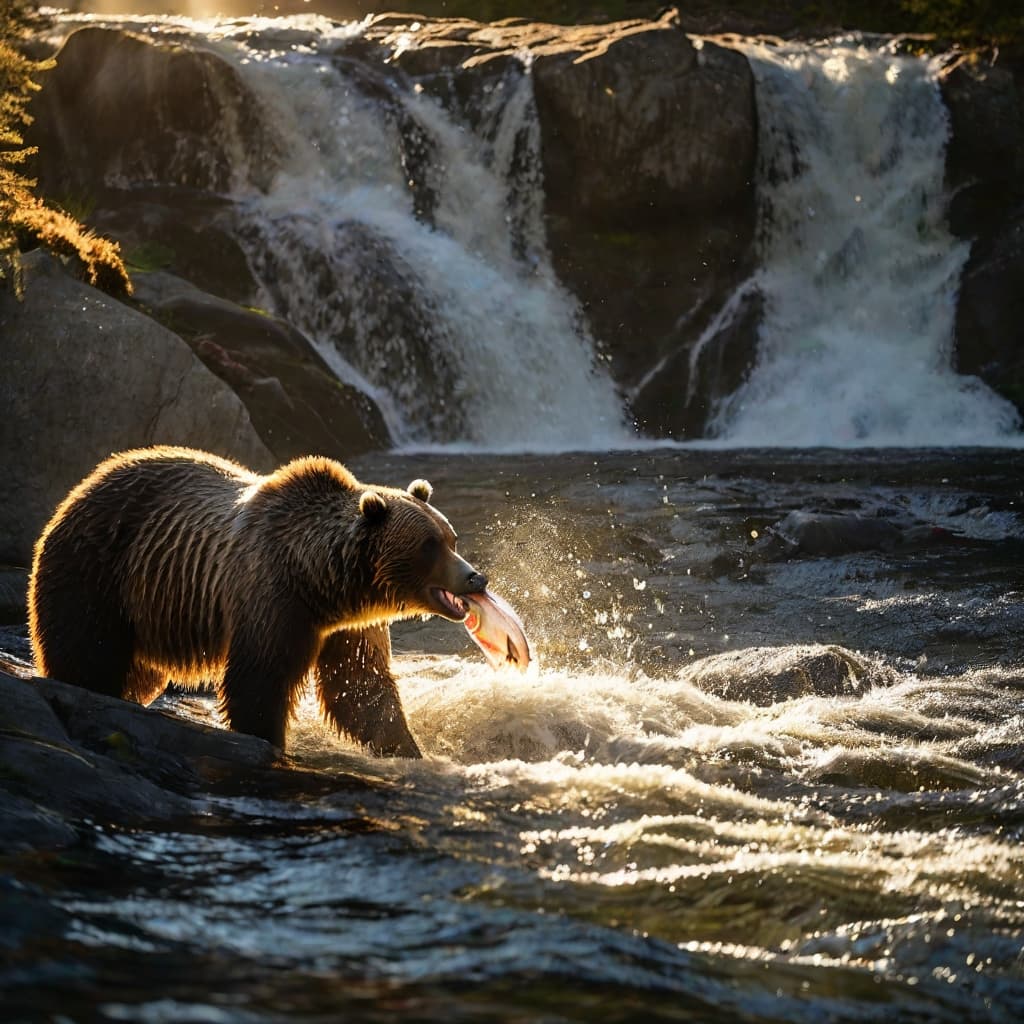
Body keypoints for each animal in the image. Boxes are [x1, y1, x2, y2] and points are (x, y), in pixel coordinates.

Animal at [28, 446, 489, 757]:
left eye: (449, 537)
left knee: (137, 672)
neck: (321, 581)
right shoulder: (272, 596)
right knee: (84, 650)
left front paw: (408, 749)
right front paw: (269, 740)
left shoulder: (350, 625)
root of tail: (87, 482)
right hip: (97, 570)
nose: (475, 576)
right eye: (429, 546)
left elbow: (361, 688)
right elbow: (258, 681)